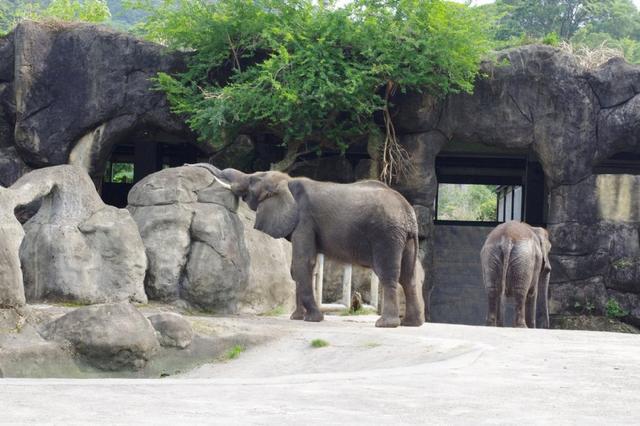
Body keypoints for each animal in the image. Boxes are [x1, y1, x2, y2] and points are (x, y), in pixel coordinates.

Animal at [188, 165, 422, 328]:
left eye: (253, 180)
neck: (288, 182)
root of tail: (407, 210)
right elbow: (300, 268)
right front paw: (297, 318)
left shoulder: (304, 220)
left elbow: (303, 263)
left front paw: (312, 319)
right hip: (407, 238)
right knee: (408, 278)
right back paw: (411, 324)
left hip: (386, 234)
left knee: (388, 274)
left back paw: (385, 324)